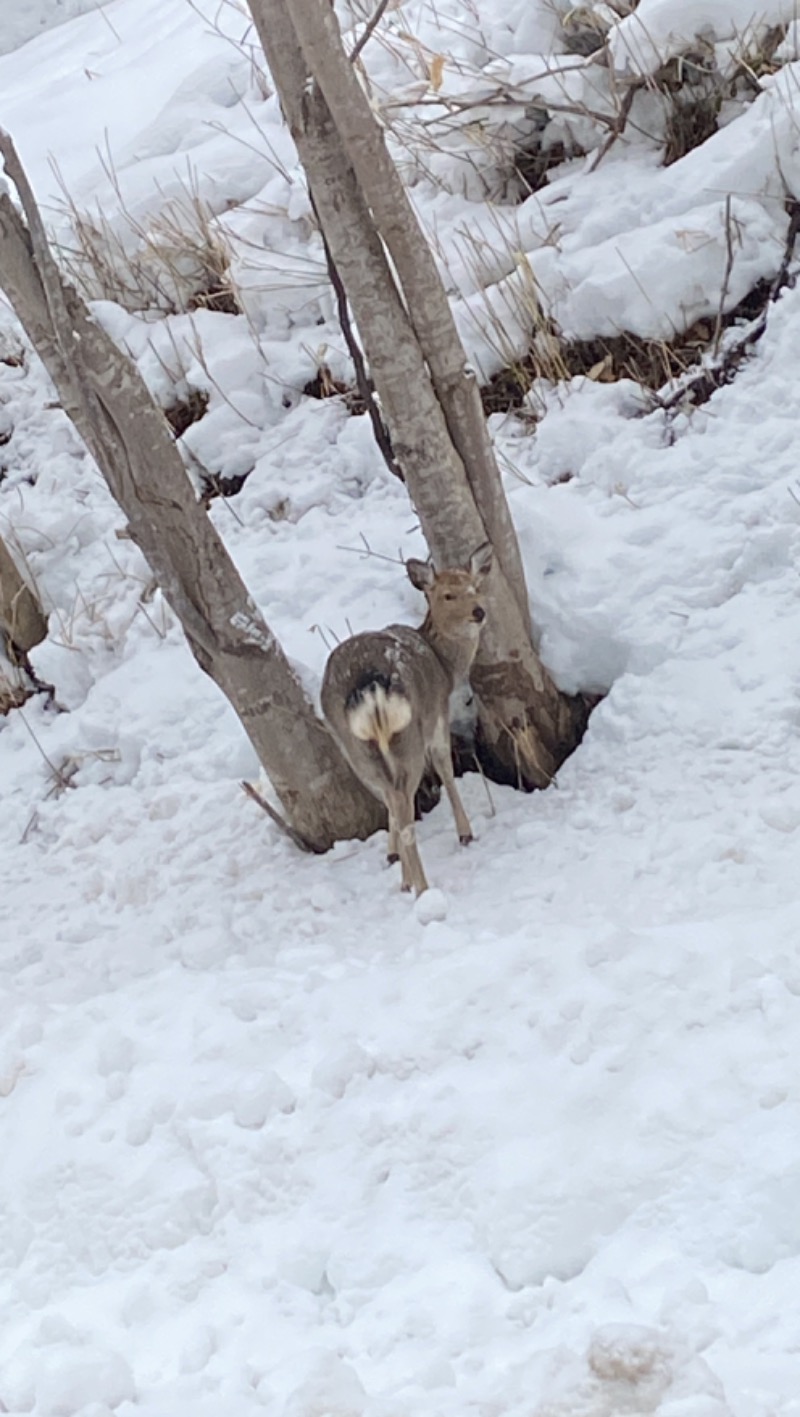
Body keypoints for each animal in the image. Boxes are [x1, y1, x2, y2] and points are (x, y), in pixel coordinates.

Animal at [321, 541, 489, 895]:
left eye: (475, 587)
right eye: (448, 595)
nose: (479, 611)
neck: (446, 666)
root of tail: (370, 687)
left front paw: (392, 856)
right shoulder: (437, 713)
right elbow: (445, 767)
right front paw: (465, 833)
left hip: (355, 747)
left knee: (391, 799)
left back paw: (405, 877)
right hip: (407, 736)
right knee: (404, 805)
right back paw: (422, 888)